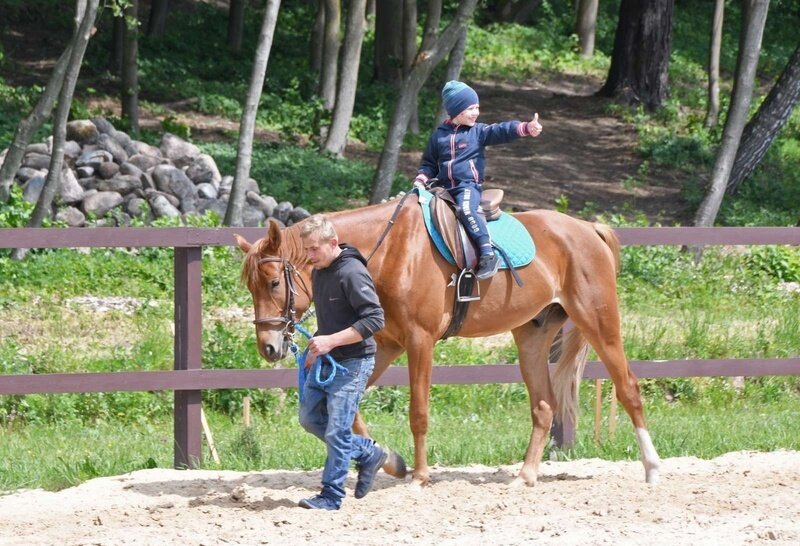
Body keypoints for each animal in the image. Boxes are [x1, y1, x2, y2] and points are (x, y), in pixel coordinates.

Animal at [233, 196, 664, 484]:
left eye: (273, 283)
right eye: (250, 286)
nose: (268, 347)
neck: (390, 251)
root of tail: (588, 228)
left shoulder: (419, 342)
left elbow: (418, 412)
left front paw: (420, 476)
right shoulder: (387, 343)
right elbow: (350, 408)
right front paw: (389, 461)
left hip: (599, 322)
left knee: (628, 388)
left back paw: (652, 468)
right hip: (533, 337)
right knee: (544, 406)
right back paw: (525, 475)